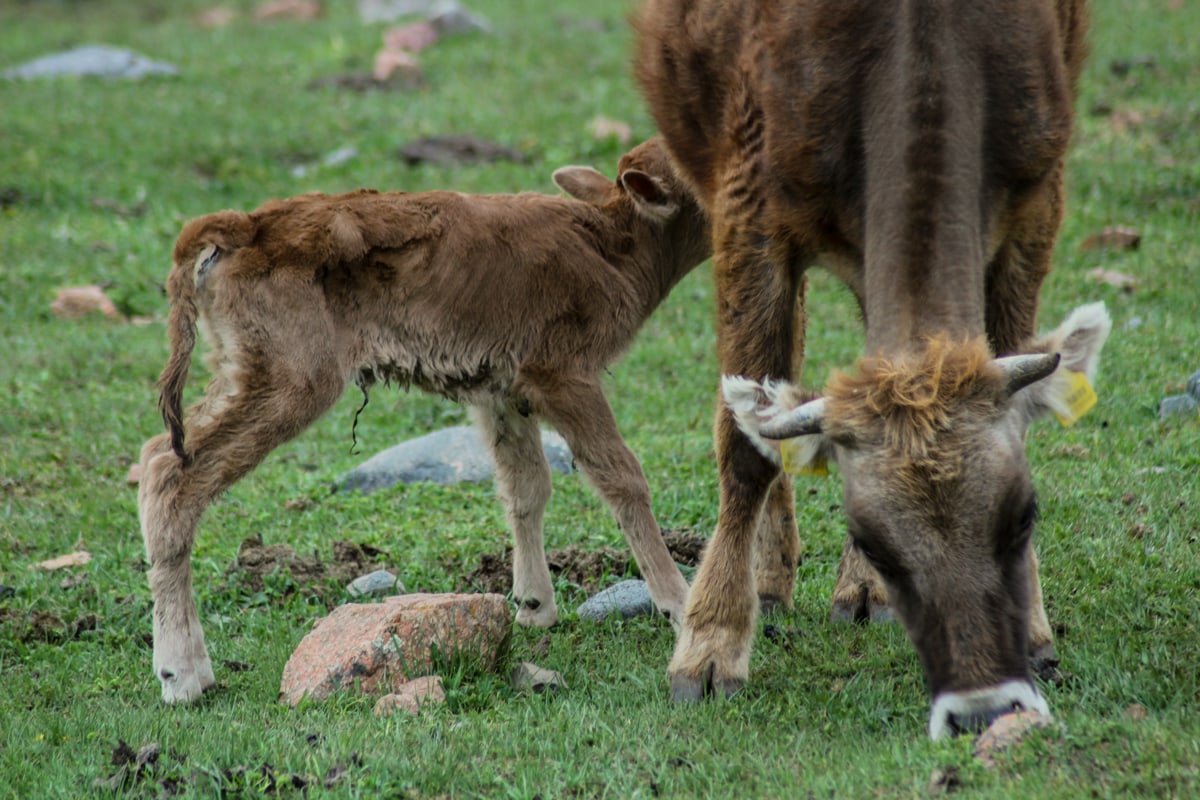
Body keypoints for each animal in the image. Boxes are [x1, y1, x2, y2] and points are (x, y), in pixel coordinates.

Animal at [138, 140, 710, 705]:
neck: (611, 243)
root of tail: (247, 223)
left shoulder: (501, 391)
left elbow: (525, 486)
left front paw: (534, 607)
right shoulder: (564, 376)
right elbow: (621, 475)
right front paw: (680, 608)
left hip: (241, 374)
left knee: (156, 453)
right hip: (292, 381)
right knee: (173, 477)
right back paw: (183, 676)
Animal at [633, 0, 1108, 738]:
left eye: (1024, 514)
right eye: (871, 536)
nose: (983, 710)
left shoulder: (1037, 197)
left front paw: (1034, 631)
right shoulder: (748, 205)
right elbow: (744, 447)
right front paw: (709, 650)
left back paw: (852, 592)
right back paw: (769, 584)